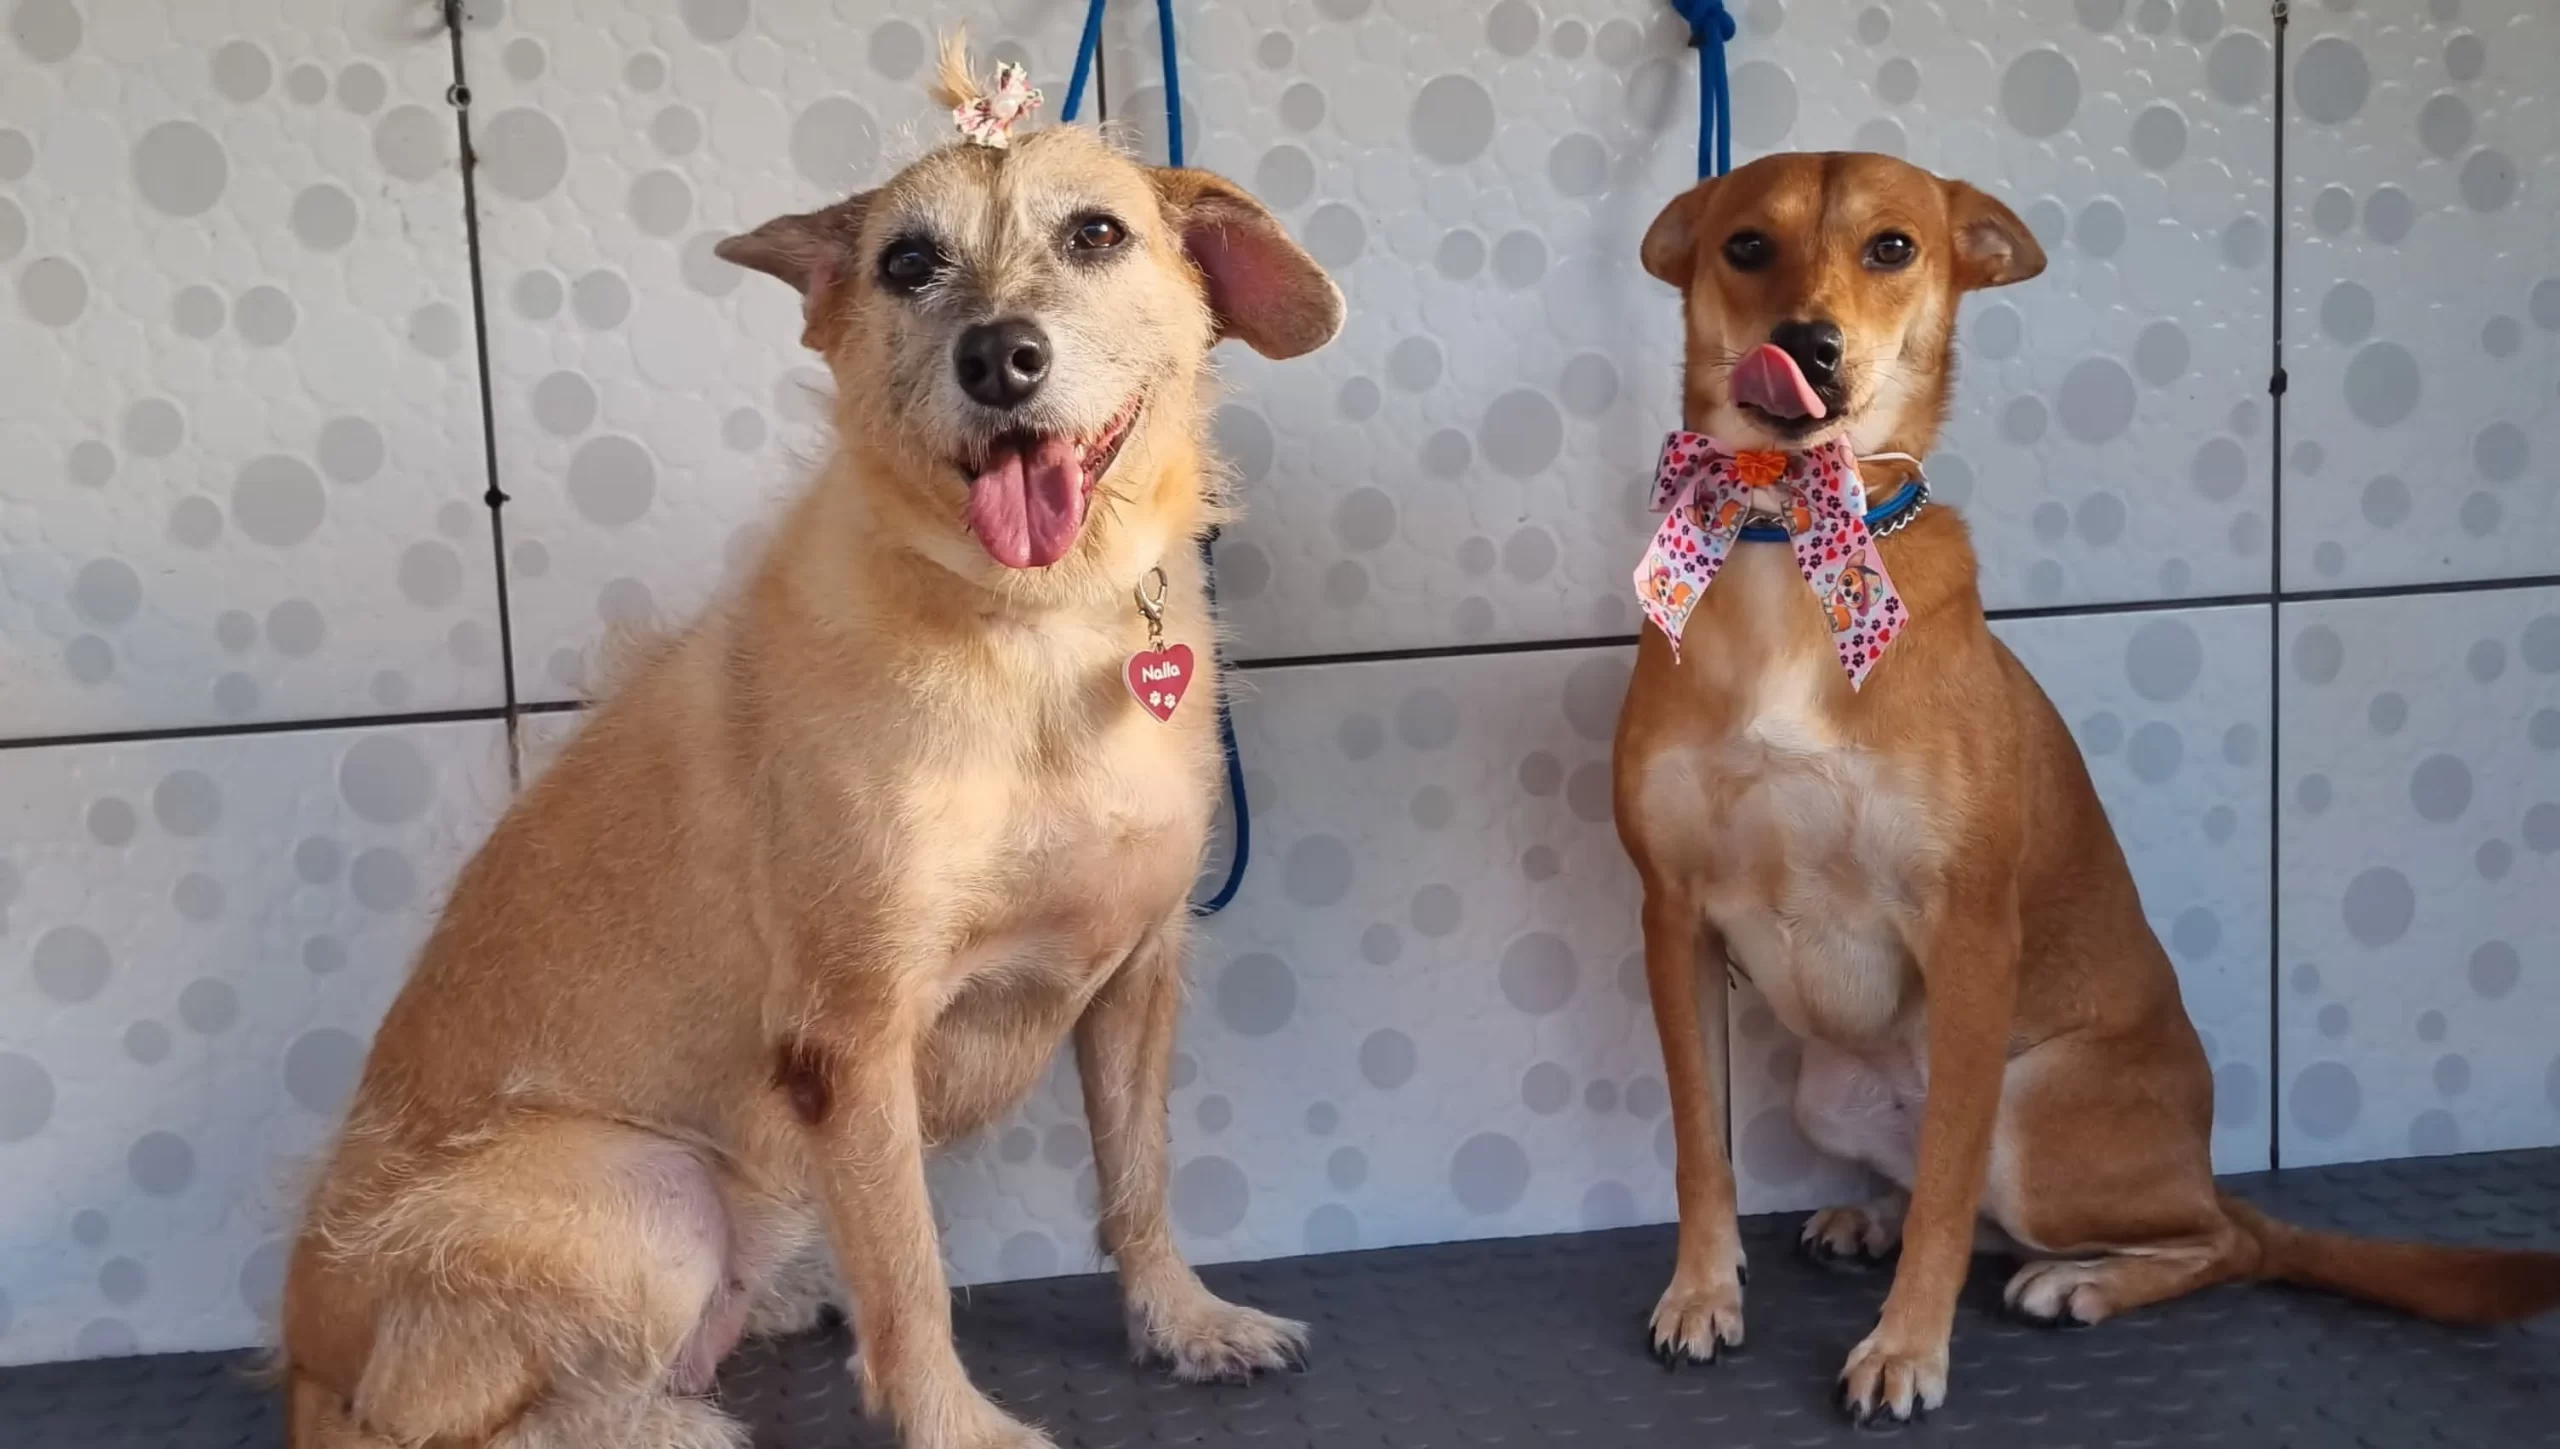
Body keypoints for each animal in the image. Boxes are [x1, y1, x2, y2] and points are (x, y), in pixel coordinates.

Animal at [278, 42, 1343, 1449]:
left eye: (1097, 233)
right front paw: (953, 1423)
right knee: (436, 1422)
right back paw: (669, 1422)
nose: (1000, 356)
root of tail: (304, 1362)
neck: (1032, 632)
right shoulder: (853, 1041)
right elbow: (908, 1271)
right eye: (909, 262)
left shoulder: (1134, 981)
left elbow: (1139, 1181)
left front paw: (1181, 1321)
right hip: (648, 1189)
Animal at [1610, 150, 2560, 1424]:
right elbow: (1698, 1148)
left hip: (2040, 1121)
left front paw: (1904, 1350)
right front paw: (1703, 1293)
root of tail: (2199, 1161)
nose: (1804, 343)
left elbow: (1950, 1186)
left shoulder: (1968, 935)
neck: (1784, 538)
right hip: (1832, 1098)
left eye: (1893, 248)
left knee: (2210, 1239)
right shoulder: (1673, 918)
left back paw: (2082, 1282)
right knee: (1970, 1201)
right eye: (1744, 246)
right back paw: (1870, 1216)